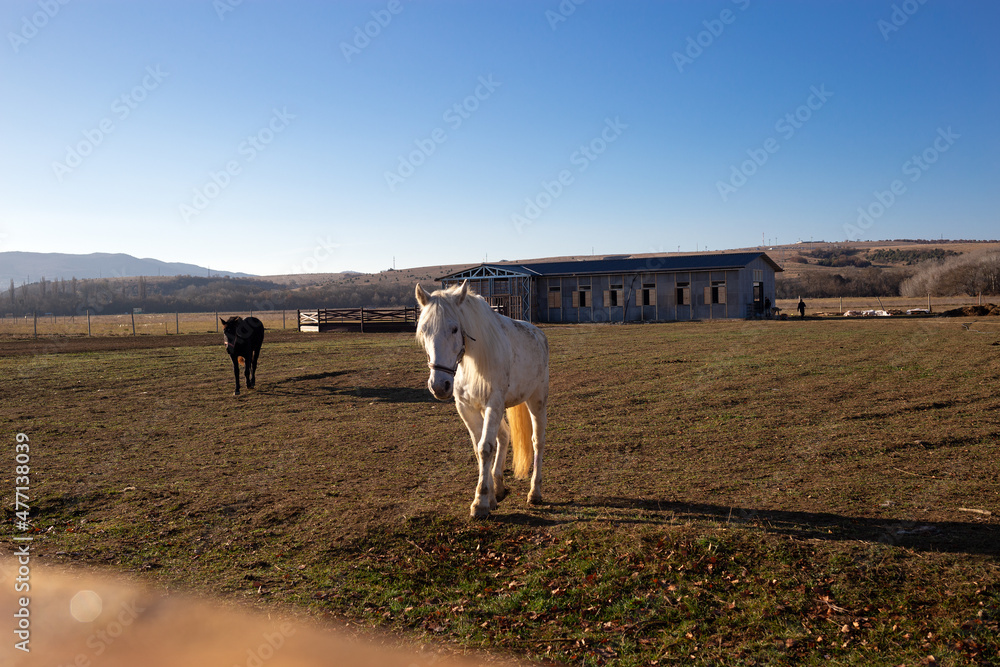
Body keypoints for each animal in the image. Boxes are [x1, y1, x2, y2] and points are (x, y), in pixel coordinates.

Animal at [415, 281, 549, 519]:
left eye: (455, 329)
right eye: (424, 330)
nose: (439, 385)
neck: (471, 363)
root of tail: (538, 333)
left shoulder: (493, 404)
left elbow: (485, 448)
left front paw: (481, 501)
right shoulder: (467, 408)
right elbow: (479, 449)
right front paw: (491, 496)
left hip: (537, 400)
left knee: (537, 442)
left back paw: (535, 492)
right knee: (504, 436)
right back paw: (500, 487)